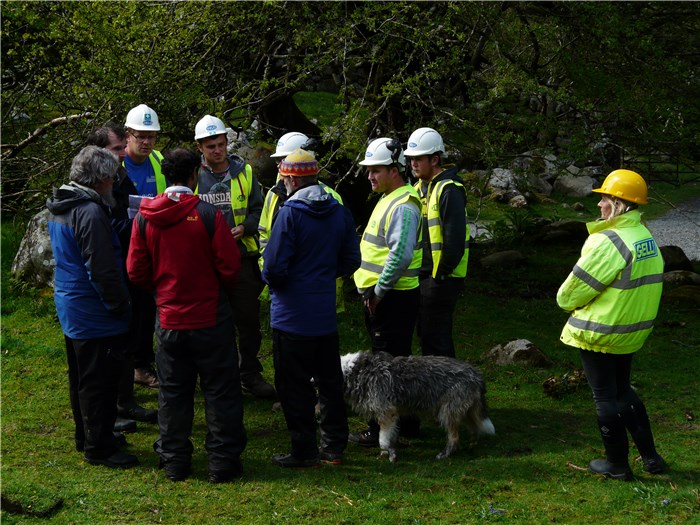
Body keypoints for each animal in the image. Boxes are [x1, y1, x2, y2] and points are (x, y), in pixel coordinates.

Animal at [342, 350, 494, 460]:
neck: (355, 371)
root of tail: (476, 374)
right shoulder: (391, 416)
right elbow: (390, 435)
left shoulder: (387, 413)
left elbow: (383, 439)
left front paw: (387, 455)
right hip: (466, 410)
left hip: (447, 412)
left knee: (454, 438)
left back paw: (445, 454)